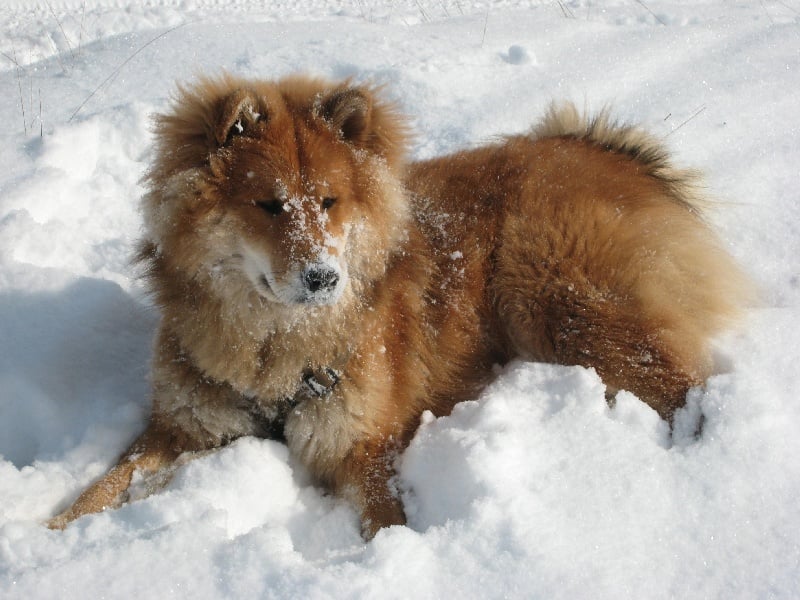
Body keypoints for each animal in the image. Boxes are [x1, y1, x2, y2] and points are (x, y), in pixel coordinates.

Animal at [48, 74, 751, 538]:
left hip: (556, 298)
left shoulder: (365, 444)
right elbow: (106, 484)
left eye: (328, 202)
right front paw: (53, 533)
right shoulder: (184, 426)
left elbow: (386, 522)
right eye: (268, 205)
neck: (275, 346)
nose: (322, 278)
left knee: (680, 380)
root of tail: (608, 151)